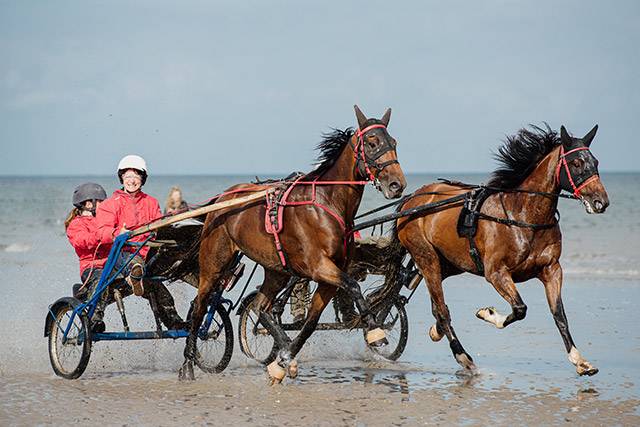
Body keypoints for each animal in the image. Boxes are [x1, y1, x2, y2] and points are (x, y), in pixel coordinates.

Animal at [180, 106, 408, 382]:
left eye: (393, 142)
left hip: (276, 269)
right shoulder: (318, 266)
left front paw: (284, 359)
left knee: (262, 307)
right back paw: (187, 364)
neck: (326, 204)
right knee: (200, 306)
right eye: (372, 143)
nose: (397, 185)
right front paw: (376, 332)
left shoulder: (329, 276)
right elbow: (353, 285)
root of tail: (223, 199)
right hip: (215, 262)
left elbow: (311, 323)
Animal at [388, 124, 608, 378]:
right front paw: (488, 314)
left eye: (596, 161)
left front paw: (580, 361)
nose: (601, 201)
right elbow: (520, 309)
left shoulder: (551, 269)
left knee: (435, 304)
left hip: (450, 263)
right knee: (441, 310)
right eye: (576, 163)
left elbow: (559, 315)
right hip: (427, 257)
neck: (522, 216)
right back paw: (463, 357)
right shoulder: (496, 273)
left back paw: (434, 331)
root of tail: (411, 200)